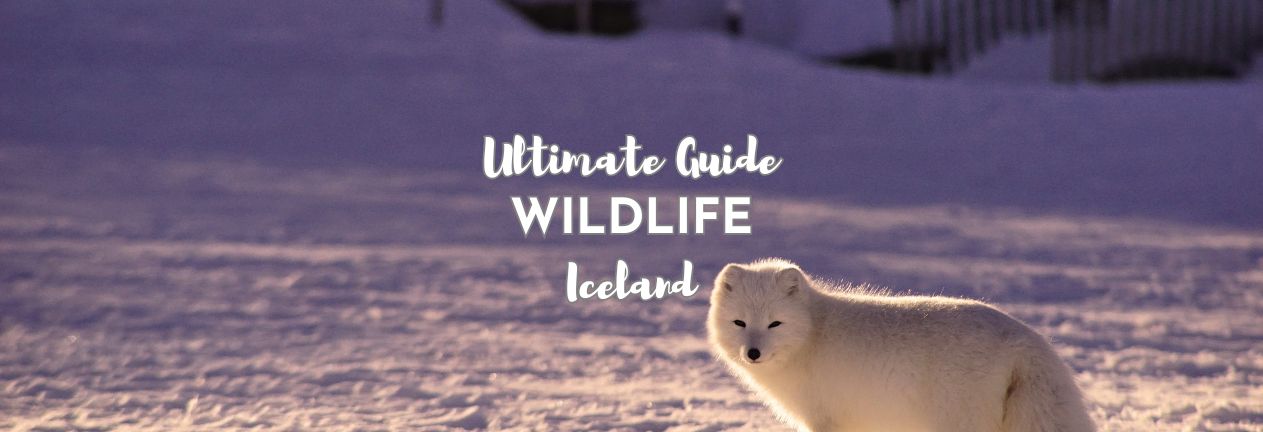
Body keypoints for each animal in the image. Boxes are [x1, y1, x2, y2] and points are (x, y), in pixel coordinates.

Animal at [707, 258, 1094, 432]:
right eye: (740, 323)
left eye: (775, 324)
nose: (752, 353)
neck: (812, 334)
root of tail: (1024, 336)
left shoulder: (825, 420)